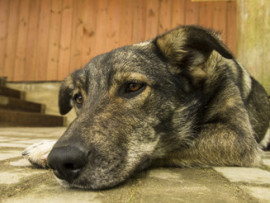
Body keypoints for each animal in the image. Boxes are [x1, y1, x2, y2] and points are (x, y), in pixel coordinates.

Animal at [22, 25, 270, 190]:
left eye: (133, 86)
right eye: (78, 98)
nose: (60, 160)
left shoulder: (237, 136)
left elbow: (175, 140)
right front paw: (45, 146)